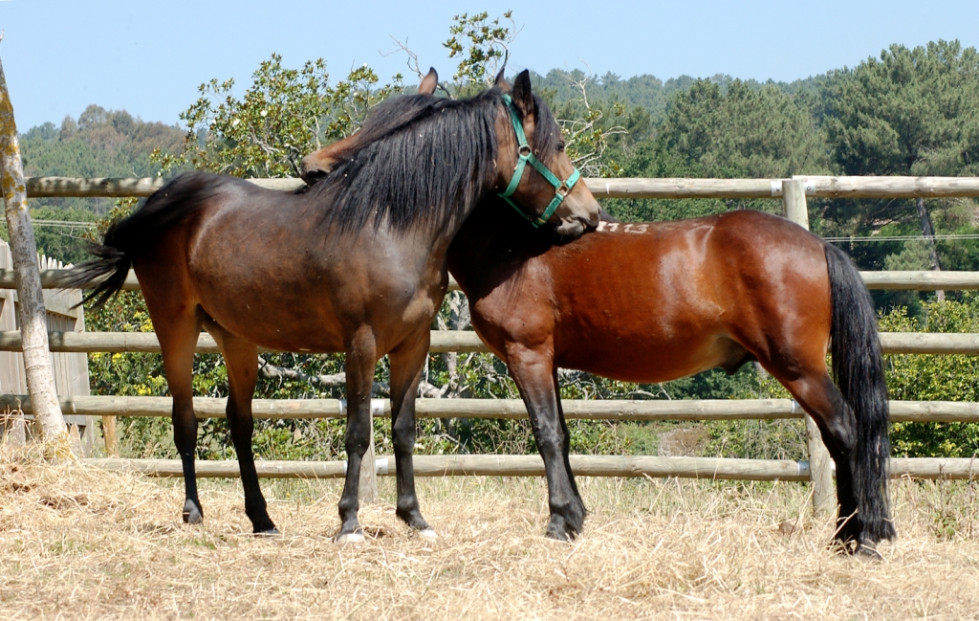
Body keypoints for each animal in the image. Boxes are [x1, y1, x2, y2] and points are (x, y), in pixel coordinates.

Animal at [61, 70, 600, 540]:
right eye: (558, 146)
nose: (590, 215)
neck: (394, 226)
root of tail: (162, 204)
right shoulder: (360, 345)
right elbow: (359, 432)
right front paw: (349, 522)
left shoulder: (413, 344)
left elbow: (403, 430)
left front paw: (415, 519)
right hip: (175, 327)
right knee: (186, 419)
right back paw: (193, 513)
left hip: (236, 338)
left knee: (240, 422)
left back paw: (262, 519)